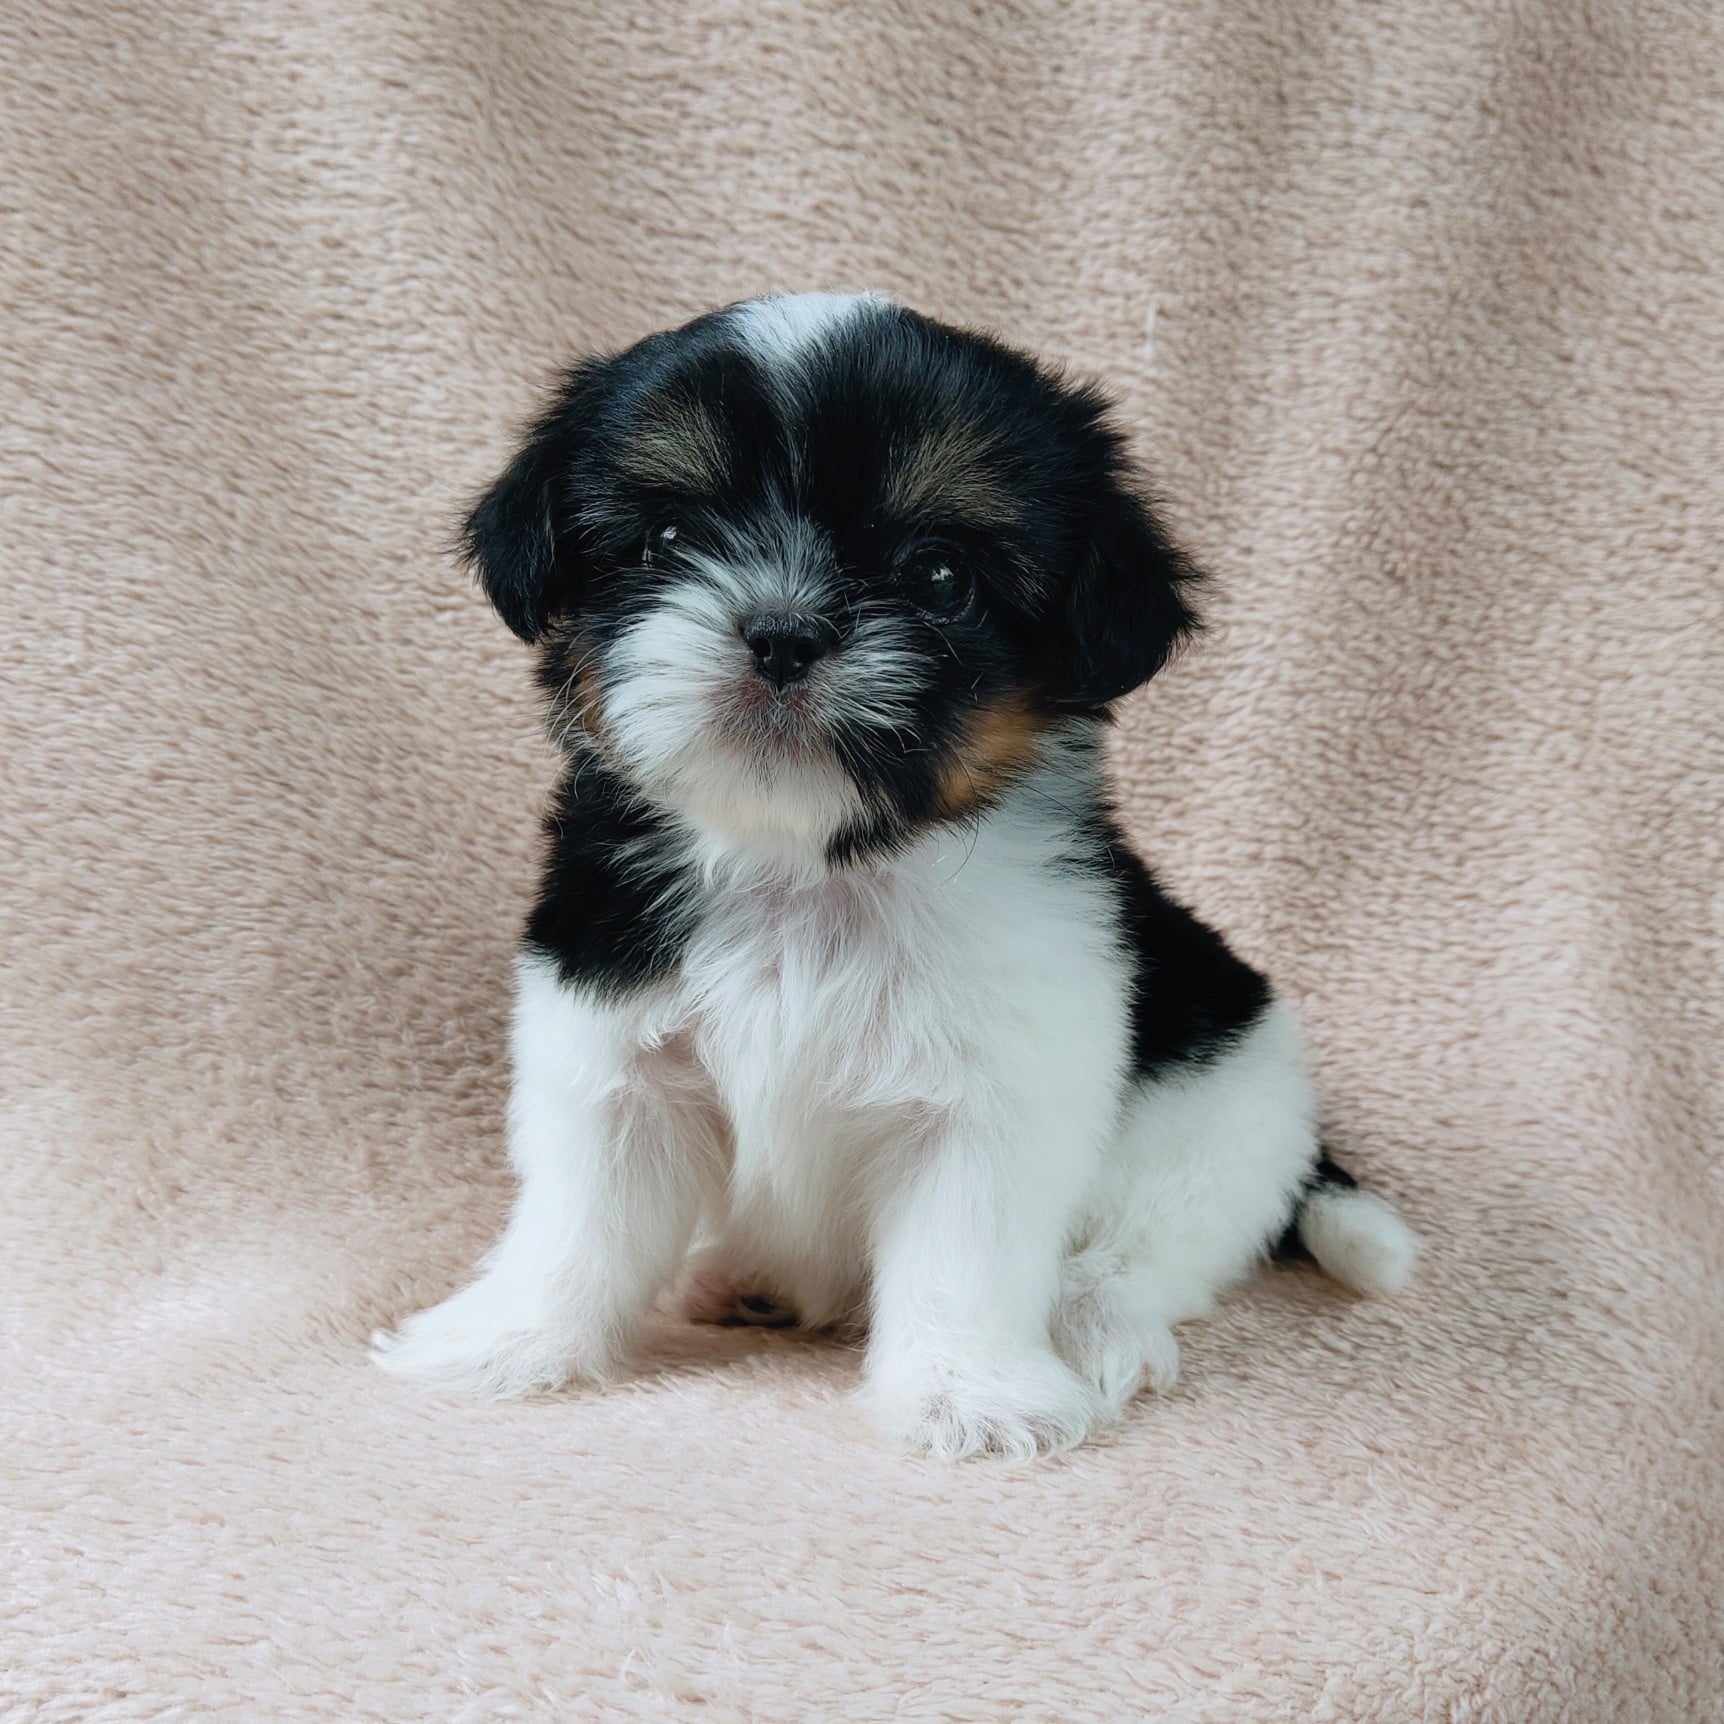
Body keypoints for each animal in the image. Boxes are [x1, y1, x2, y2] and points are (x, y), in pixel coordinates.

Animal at [372, 292, 1417, 1457]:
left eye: (940, 577)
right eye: (670, 540)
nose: (783, 631)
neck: (806, 872)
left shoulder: (993, 1097)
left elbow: (965, 1248)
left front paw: (970, 1395)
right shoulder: (611, 1056)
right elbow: (578, 1215)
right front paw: (507, 1339)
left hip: (1224, 1117)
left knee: (1148, 1247)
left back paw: (1095, 1328)